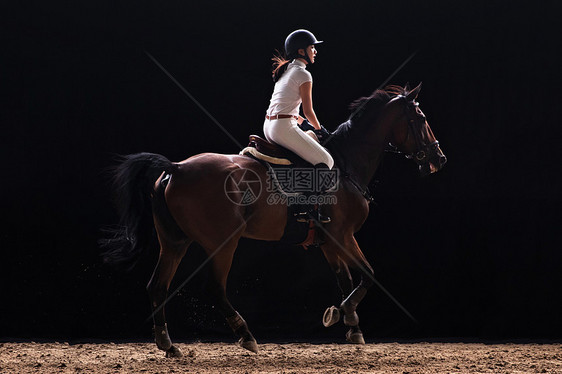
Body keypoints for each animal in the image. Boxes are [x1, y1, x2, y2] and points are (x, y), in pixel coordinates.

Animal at [99, 82, 442, 356]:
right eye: (421, 120)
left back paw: (168, 344)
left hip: (174, 242)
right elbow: (368, 275)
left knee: (157, 285)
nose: (439, 159)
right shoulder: (342, 235)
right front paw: (341, 313)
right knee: (215, 289)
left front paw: (352, 325)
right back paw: (245, 335)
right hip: (223, 243)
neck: (346, 165)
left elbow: (346, 279)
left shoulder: (328, 241)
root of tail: (178, 167)